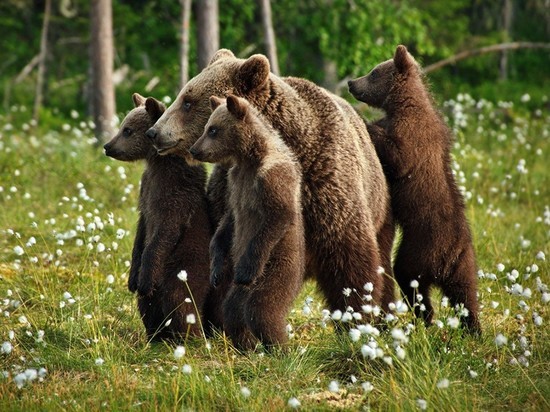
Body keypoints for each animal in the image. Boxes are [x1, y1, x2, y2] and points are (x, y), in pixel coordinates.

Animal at [103, 94, 218, 342]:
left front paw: (144, 280)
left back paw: (190, 336)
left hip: (183, 267)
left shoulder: (174, 195)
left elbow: (163, 234)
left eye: (127, 130)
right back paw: (155, 335)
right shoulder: (146, 191)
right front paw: (132, 281)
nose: (107, 146)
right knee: (148, 305)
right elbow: (142, 231)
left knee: (180, 300)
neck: (158, 164)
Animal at [147, 50, 396, 318]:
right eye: (184, 95)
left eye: (187, 102)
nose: (154, 132)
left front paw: (356, 314)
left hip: (381, 207)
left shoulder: (326, 185)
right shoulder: (231, 190)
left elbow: (350, 258)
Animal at [190, 95, 306, 350]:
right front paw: (215, 269)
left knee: (262, 307)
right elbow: (229, 223)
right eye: (206, 127)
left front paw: (245, 268)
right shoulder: (236, 183)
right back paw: (247, 345)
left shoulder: (271, 177)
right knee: (232, 308)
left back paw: (279, 347)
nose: (195, 149)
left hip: (279, 265)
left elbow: (277, 215)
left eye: (213, 130)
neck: (250, 157)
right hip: (240, 290)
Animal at [350, 45, 484, 334]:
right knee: (466, 295)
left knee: (409, 279)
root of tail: (449, 256)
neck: (403, 104)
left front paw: (366, 122)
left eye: (374, 72)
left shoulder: (413, 135)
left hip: (420, 248)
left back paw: (426, 317)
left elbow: (398, 156)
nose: (351, 82)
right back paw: (473, 329)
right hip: (466, 264)